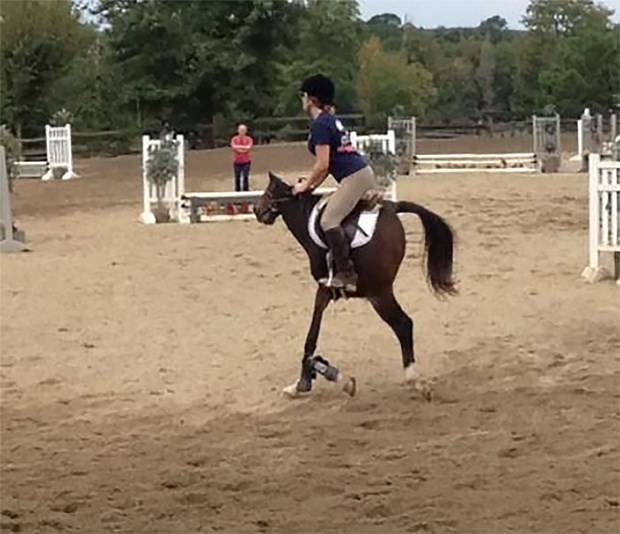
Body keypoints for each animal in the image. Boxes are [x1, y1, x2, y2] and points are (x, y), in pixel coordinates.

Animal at [252, 172, 456, 398]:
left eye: (269, 192)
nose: (256, 210)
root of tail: (393, 208)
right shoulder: (325, 289)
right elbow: (312, 334)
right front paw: (302, 382)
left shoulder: (325, 286)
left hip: (379, 293)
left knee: (403, 324)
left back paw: (414, 379)